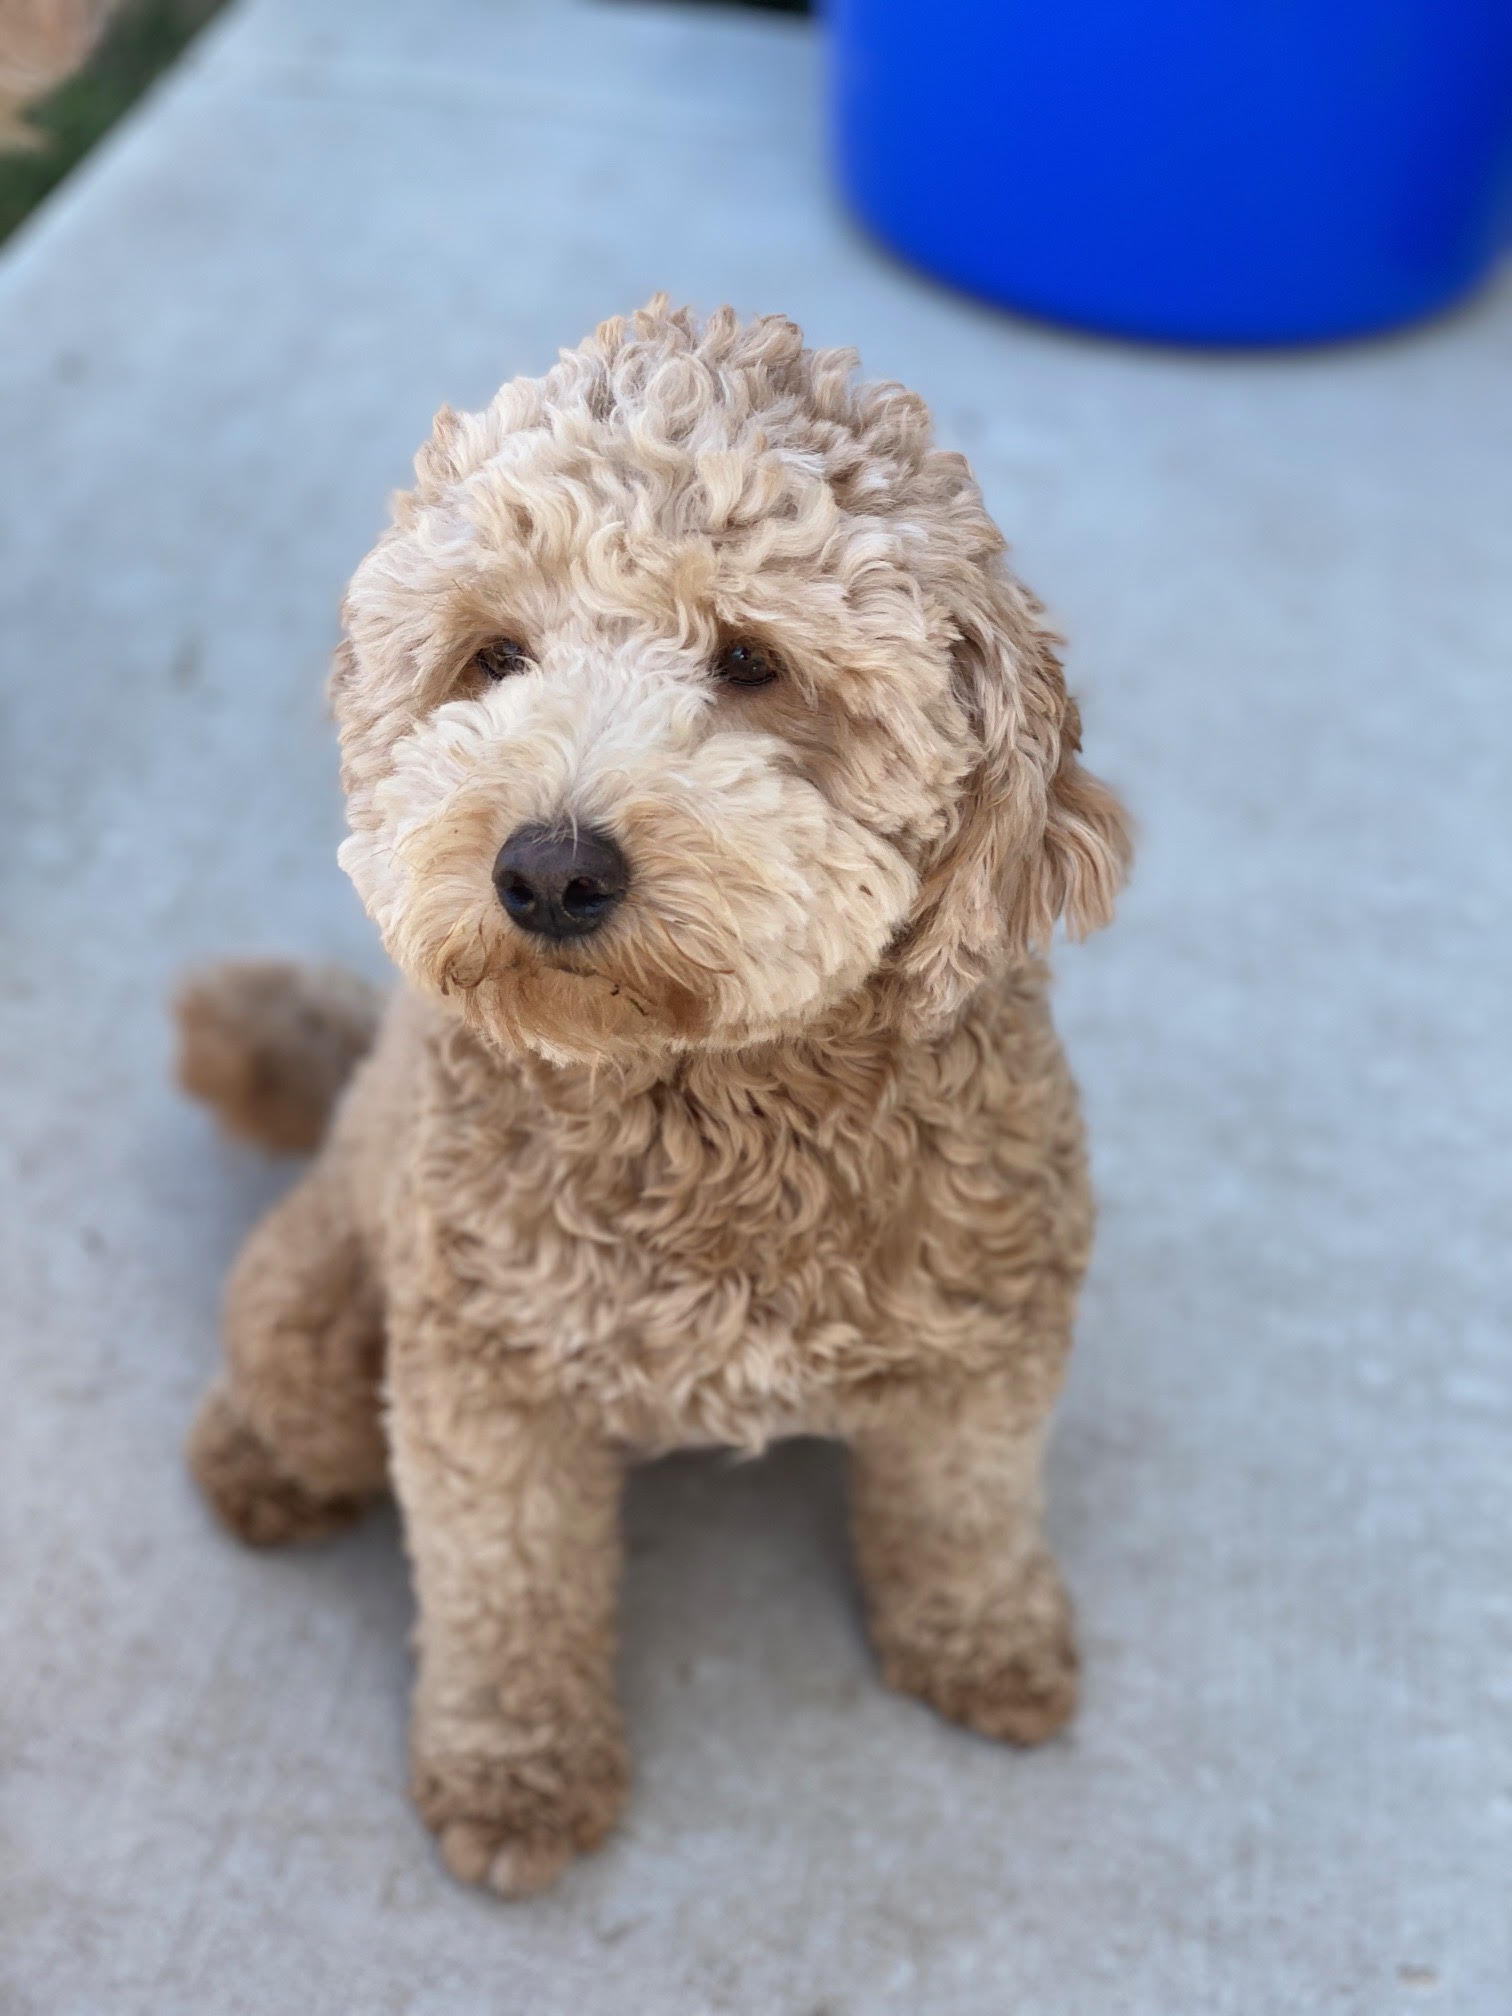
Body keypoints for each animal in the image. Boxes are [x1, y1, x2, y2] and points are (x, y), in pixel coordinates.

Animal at [177, 294, 1128, 1886]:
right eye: (493, 657)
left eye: (750, 660)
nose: (549, 869)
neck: (711, 1105)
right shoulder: (482, 1385)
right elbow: (507, 1593)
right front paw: (514, 1773)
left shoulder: (991, 1340)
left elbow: (967, 1508)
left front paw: (985, 1644)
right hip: (322, 1315)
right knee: (280, 1395)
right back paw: (258, 1464)